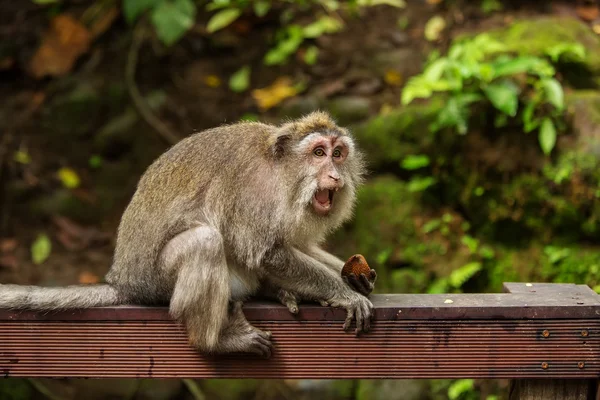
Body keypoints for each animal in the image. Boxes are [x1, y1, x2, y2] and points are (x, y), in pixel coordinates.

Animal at [0, 111, 376, 358]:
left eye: (338, 153)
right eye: (318, 153)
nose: (335, 176)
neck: (280, 170)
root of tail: (124, 281)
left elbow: (295, 244)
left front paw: (353, 275)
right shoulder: (252, 189)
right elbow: (267, 252)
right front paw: (344, 292)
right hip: (158, 283)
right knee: (204, 242)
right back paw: (215, 342)